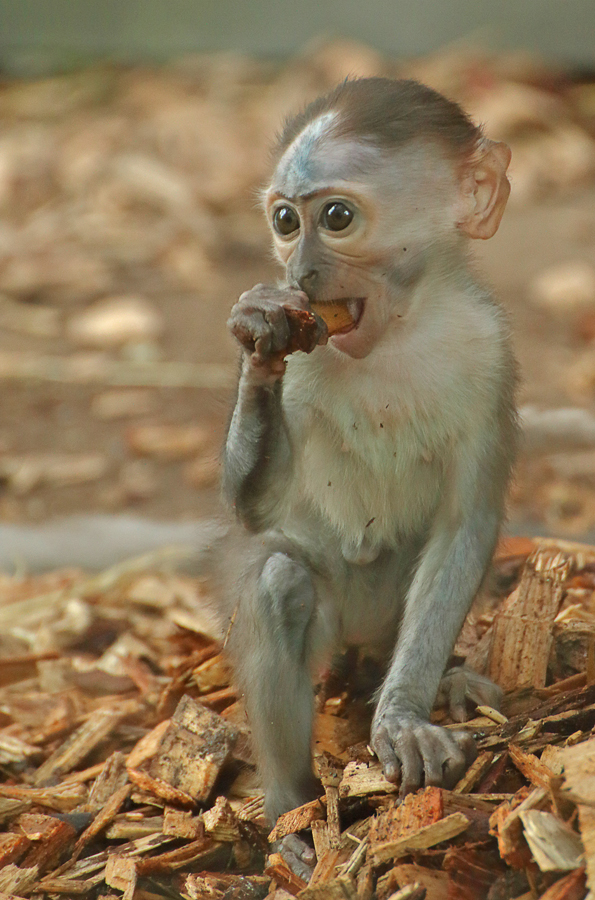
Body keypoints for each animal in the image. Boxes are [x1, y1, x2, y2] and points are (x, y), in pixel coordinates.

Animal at [221, 81, 520, 828]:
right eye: (284, 221)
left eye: (334, 217)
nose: (298, 273)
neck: (394, 333)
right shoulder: (307, 358)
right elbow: (255, 512)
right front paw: (259, 334)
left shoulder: (492, 351)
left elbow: (464, 527)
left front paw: (402, 717)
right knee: (279, 581)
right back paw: (292, 812)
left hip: (383, 616)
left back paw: (440, 678)